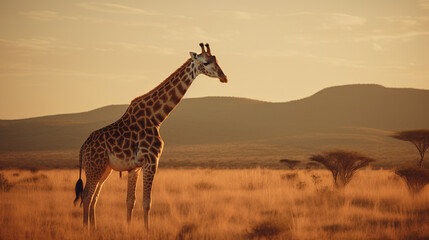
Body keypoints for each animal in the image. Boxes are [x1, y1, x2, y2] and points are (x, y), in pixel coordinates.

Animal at [73, 42, 227, 229]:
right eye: (205, 62)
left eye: (216, 59)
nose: (224, 77)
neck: (156, 118)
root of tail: (83, 148)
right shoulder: (152, 160)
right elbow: (147, 202)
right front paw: (147, 230)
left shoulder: (134, 167)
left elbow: (130, 201)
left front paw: (129, 228)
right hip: (94, 167)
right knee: (87, 195)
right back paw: (86, 229)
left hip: (104, 168)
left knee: (94, 196)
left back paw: (93, 228)